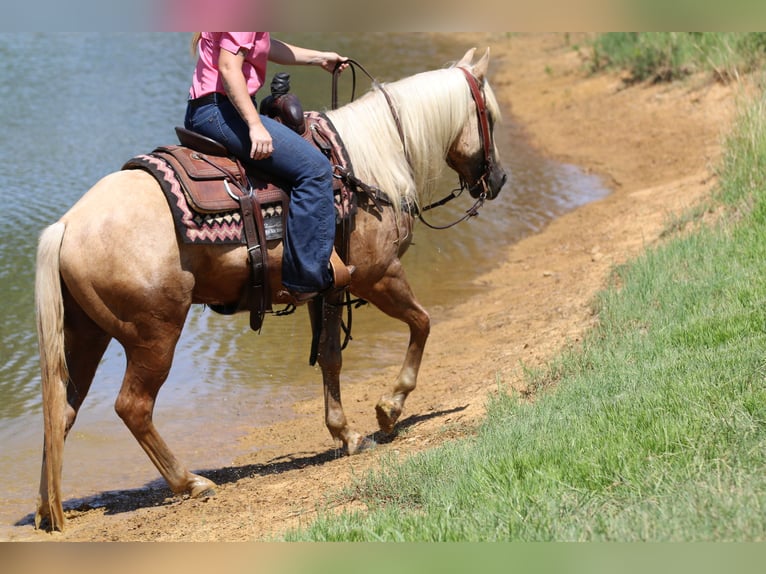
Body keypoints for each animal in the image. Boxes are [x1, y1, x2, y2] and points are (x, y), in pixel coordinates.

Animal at [33, 48, 507, 531]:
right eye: (488, 114)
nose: (499, 179)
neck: (367, 165)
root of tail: (67, 225)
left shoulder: (327, 288)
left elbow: (331, 358)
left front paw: (346, 433)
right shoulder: (379, 275)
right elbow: (422, 324)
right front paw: (388, 410)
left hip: (86, 335)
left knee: (61, 411)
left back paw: (47, 509)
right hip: (155, 334)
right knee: (133, 406)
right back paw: (191, 482)